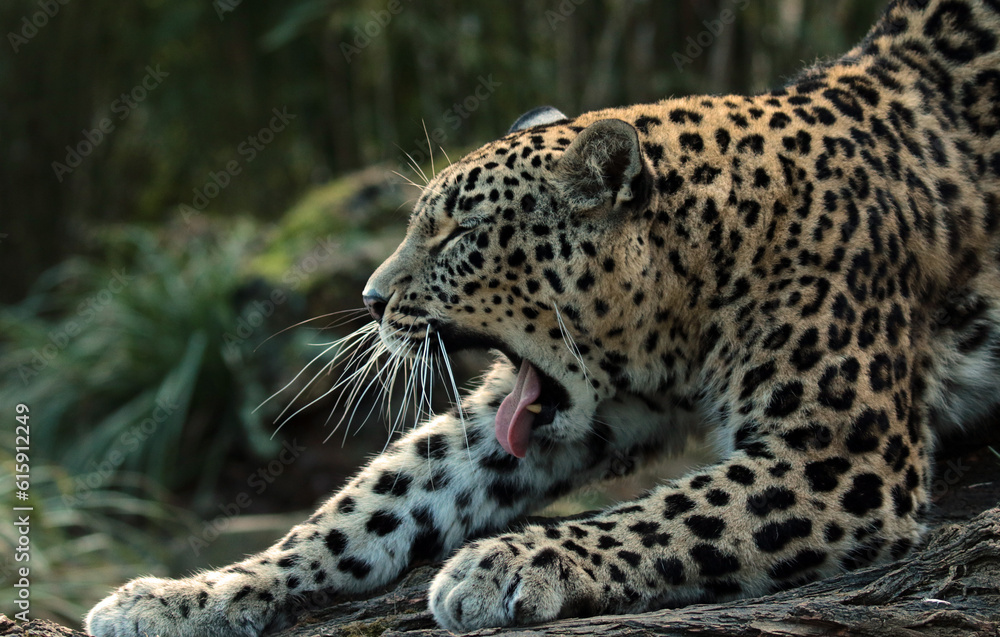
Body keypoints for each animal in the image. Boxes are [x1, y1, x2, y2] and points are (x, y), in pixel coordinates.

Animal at [87, 0, 1000, 634]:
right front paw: (189, 592)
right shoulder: (535, 413)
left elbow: (670, 512)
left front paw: (506, 562)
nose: (372, 299)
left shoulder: (839, 460)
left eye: (456, 231)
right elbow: (373, 501)